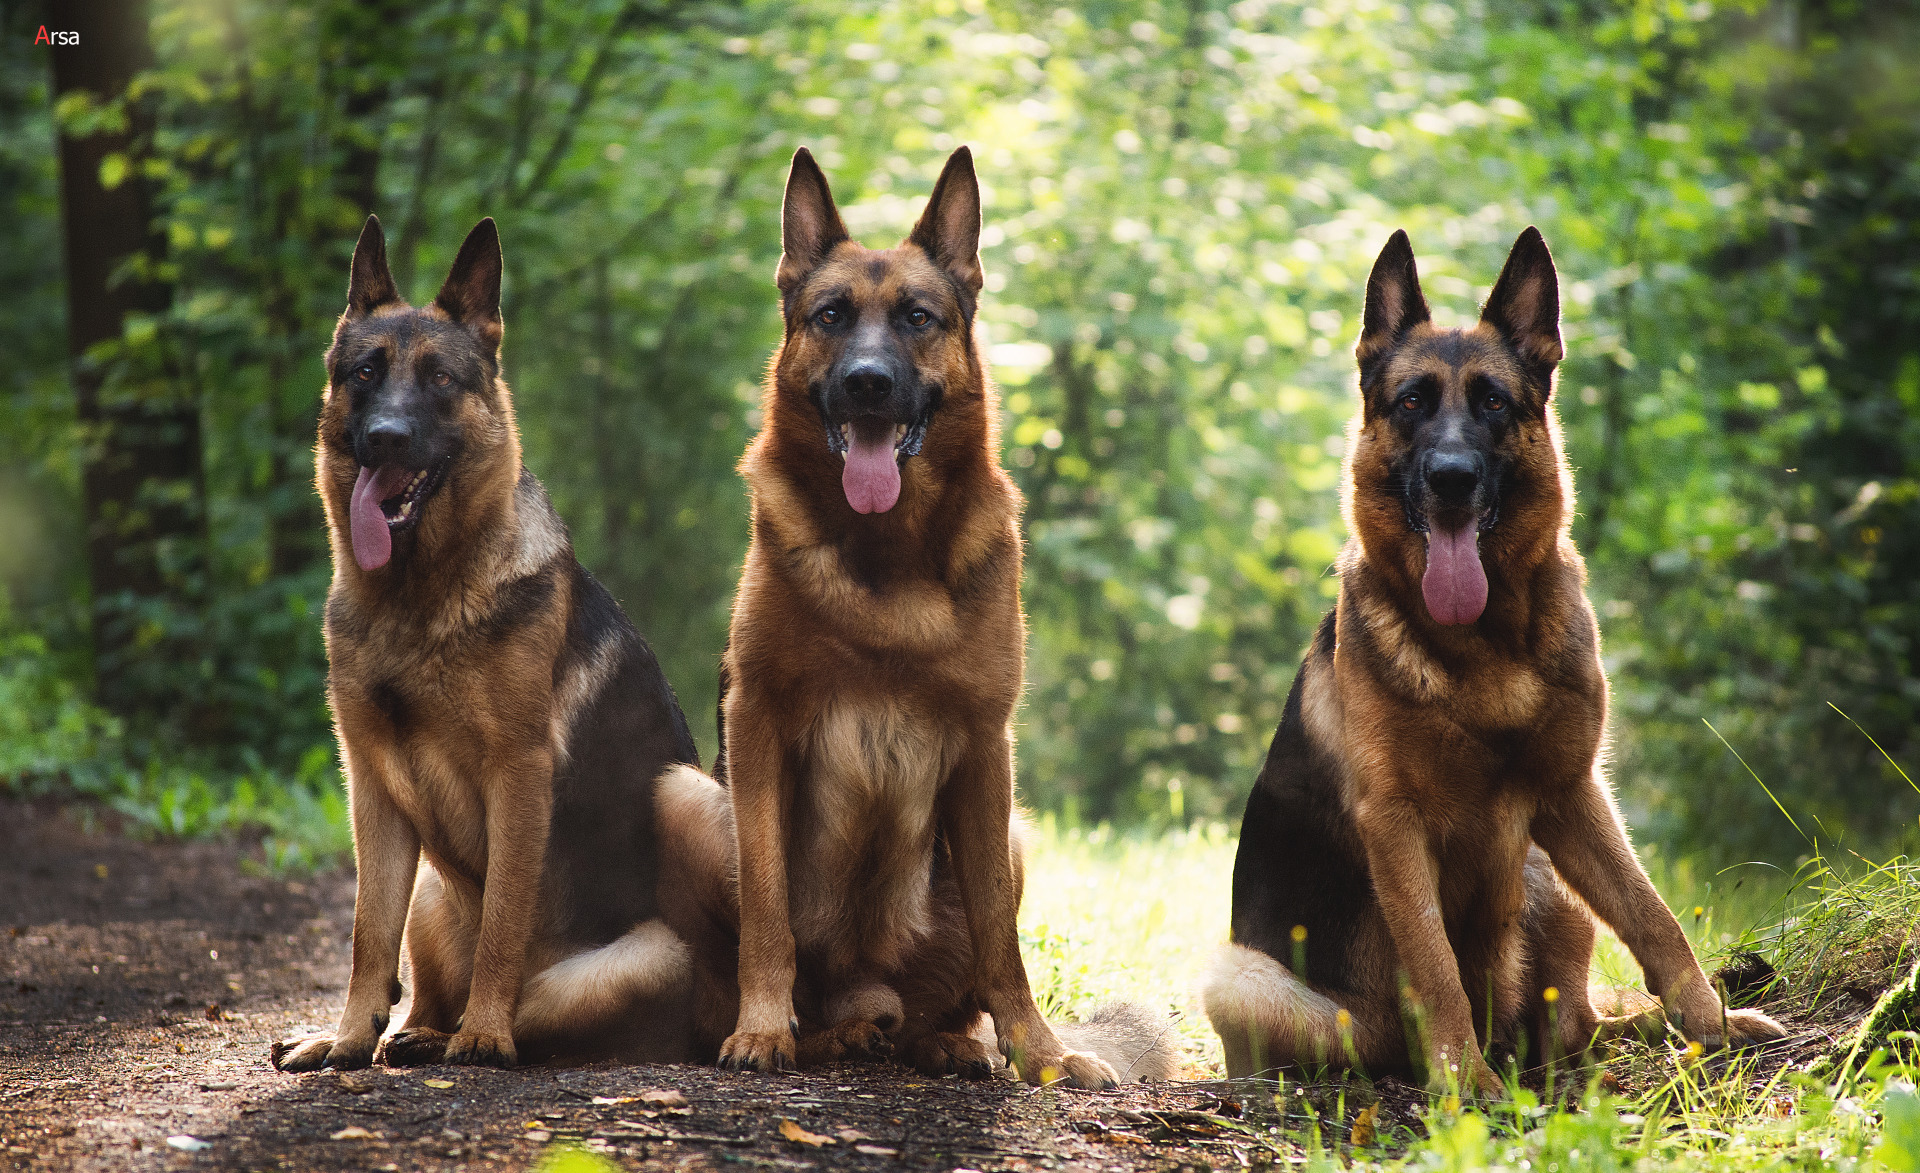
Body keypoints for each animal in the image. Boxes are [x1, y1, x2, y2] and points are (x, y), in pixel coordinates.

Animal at [270, 217, 706, 1075]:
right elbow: (367, 930)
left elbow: (506, 910)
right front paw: (348, 1034)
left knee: (539, 1010)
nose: (385, 438)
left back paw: (468, 1032)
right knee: (422, 981)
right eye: (364, 373)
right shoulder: (371, 786)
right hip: (432, 895)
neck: (418, 598)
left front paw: (484, 1033)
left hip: (642, 953)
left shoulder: (518, 775)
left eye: (441, 378)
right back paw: (406, 1031)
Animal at [652, 148, 1175, 1090]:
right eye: (830, 316)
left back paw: (950, 1043)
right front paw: (762, 1026)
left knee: (945, 1000)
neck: (885, 551)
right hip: (683, 797)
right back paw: (824, 1035)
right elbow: (768, 911)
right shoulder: (757, 723)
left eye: (918, 318)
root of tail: (871, 988)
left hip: (1013, 835)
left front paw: (1041, 1052)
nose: (868, 384)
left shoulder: (987, 745)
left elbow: (1004, 942)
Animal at [1198, 231, 1781, 1098]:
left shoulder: (1573, 793)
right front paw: (1463, 1084)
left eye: (1494, 403)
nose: (1451, 478)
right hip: (1240, 976)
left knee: (1578, 1024)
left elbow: (1653, 914)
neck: (1487, 644)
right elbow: (1436, 964)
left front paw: (1709, 1021)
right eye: (1411, 402)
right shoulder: (1396, 826)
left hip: (1548, 879)